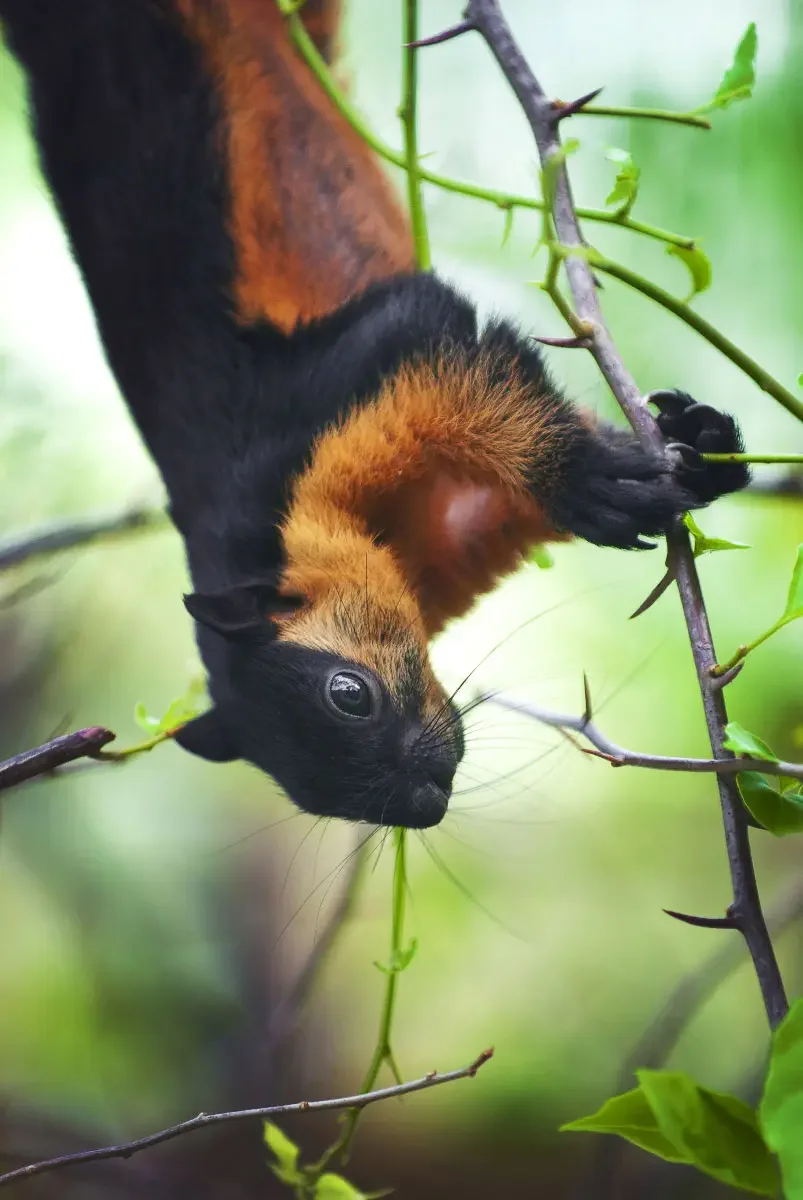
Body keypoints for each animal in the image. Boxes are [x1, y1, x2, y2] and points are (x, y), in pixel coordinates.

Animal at [0, 0, 748, 828]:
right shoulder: (440, 536)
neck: (256, 526)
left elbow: (465, 376)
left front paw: (591, 479)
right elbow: (495, 510)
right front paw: (670, 460)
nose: (423, 803)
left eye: (348, 695)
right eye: (318, 802)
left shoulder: (342, 385)